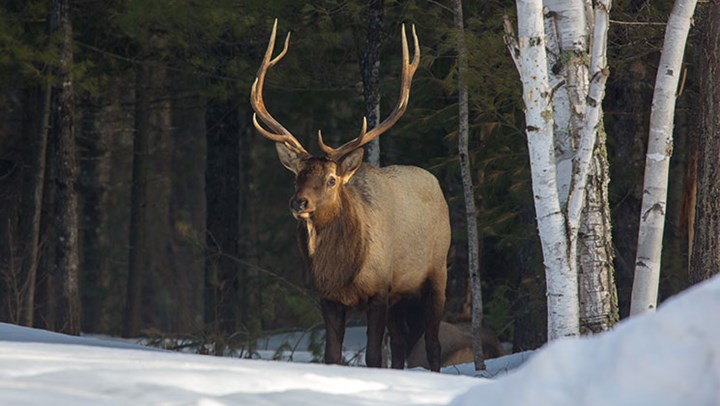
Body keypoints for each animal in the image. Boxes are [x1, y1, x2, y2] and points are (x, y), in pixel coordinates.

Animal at [249, 21, 450, 372]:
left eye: (331, 180)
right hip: (401, 293)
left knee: (432, 343)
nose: (299, 203)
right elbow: (331, 356)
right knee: (400, 345)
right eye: (297, 176)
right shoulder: (329, 298)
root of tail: (436, 183)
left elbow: (373, 357)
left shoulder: (379, 290)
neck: (340, 270)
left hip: (438, 269)